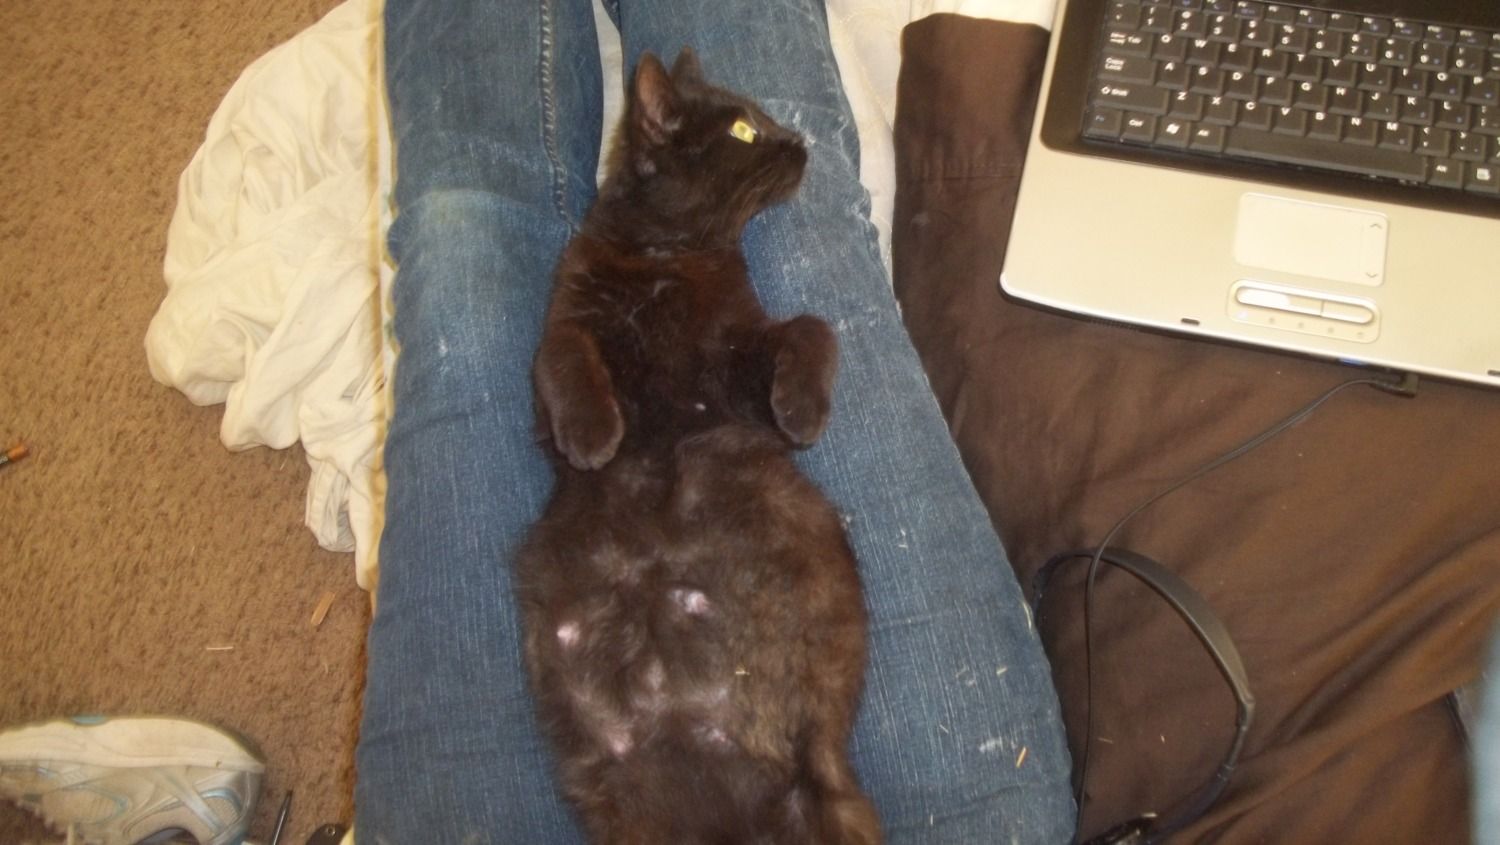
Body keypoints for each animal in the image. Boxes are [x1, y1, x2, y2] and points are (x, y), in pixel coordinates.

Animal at [515, 48, 881, 845]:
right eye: (744, 128)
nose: (801, 143)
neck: (669, 254)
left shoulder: (737, 355)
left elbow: (812, 326)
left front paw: (803, 411)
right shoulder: (564, 320)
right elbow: (563, 354)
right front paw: (593, 435)